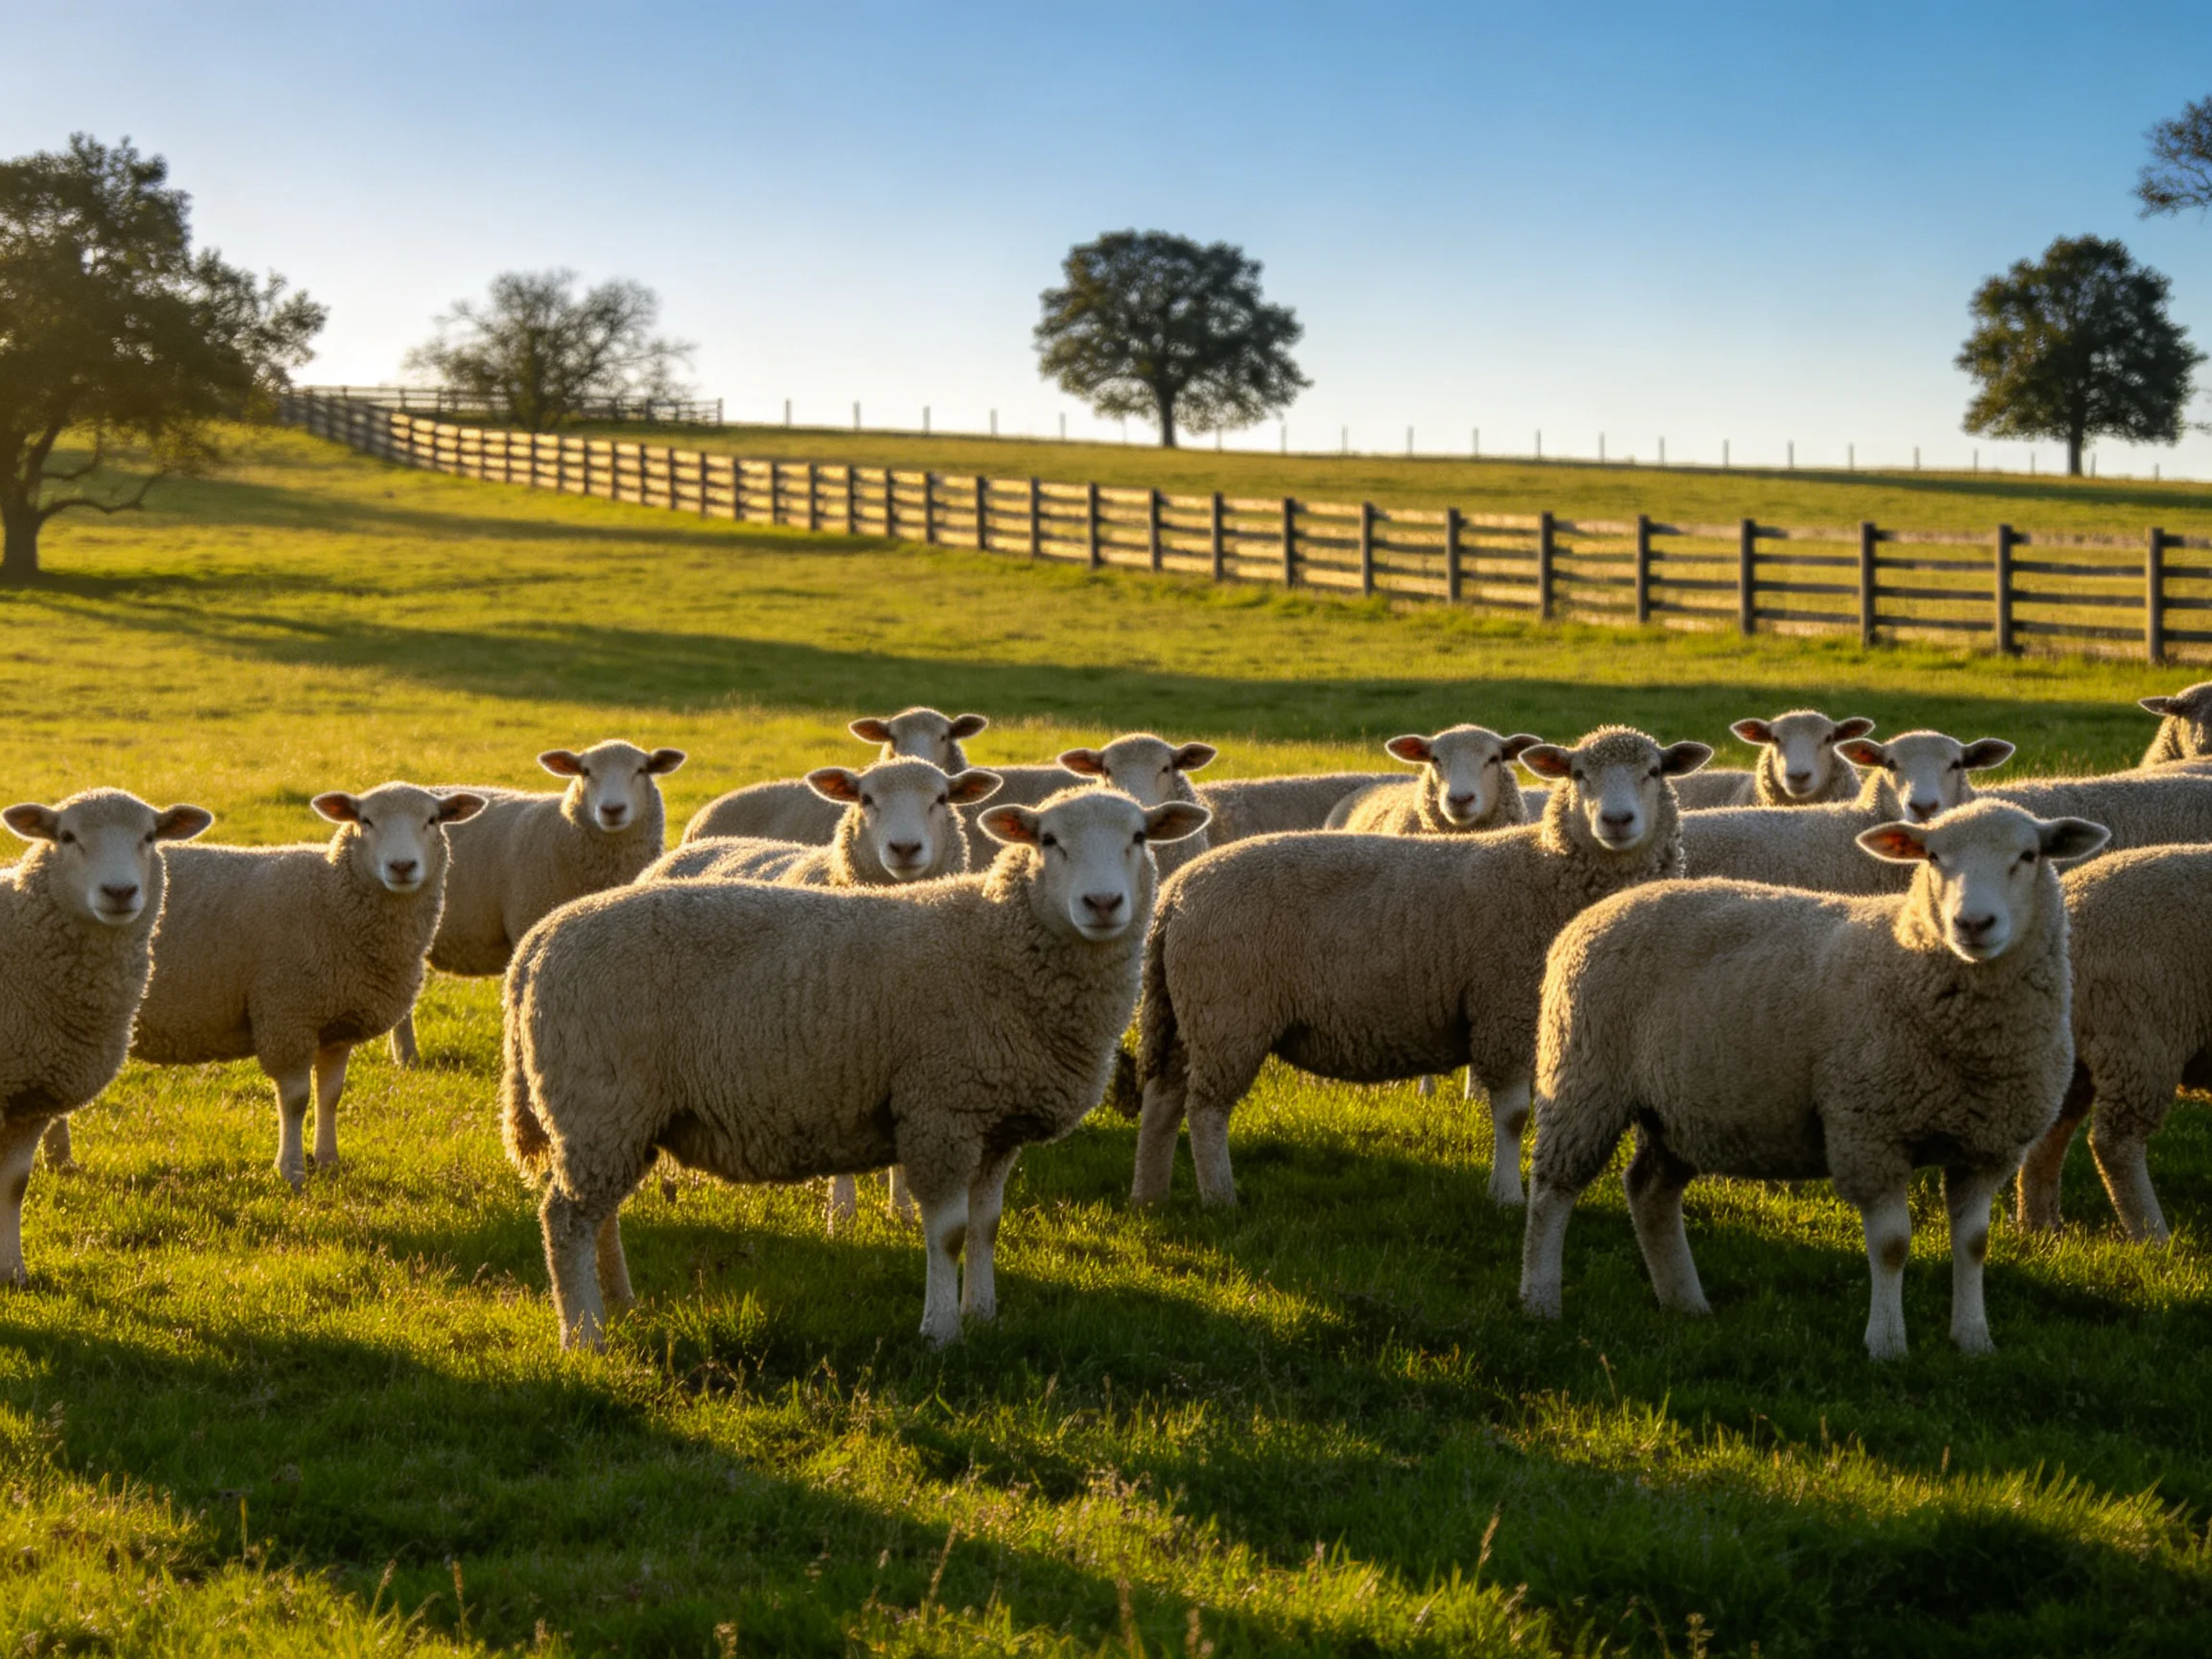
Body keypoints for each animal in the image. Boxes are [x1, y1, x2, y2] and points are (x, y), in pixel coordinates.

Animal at [0, 792, 212, 1281]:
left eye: (149, 837)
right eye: (66, 836)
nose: (119, 892)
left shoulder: (32, 1096)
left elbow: (15, 1184)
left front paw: (13, 1272)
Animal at [130, 784, 486, 1191]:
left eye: (432, 820)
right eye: (366, 821)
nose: (401, 866)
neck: (329, 895)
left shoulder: (336, 1023)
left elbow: (330, 1094)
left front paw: (328, 1161)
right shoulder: (288, 1013)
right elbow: (296, 1098)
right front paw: (291, 1170)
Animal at [500, 786, 1212, 1349]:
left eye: (1140, 836)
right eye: (1048, 839)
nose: (1102, 903)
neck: (997, 940)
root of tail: (536, 944)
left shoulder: (996, 1123)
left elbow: (986, 1227)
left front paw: (983, 1316)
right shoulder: (940, 1111)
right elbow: (948, 1232)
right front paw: (940, 1332)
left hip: (615, 1117)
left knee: (599, 1215)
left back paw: (619, 1304)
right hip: (599, 1099)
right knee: (565, 1220)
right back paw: (584, 1335)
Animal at [1520, 800, 2107, 1359]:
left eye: (2028, 856)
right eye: (1934, 857)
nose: (1973, 924)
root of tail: (1603, 908)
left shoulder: (1985, 1148)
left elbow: (1974, 1245)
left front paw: (1974, 1340)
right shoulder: (1870, 1133)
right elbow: (1892, 1246)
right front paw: (1887, 1345)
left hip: (1679, 1109)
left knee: (1649, 1190)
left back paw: (1685, 1302)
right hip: (1583, 1077)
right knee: (1552, 1192)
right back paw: (1541, 1301)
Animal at [2014, 843, 2212, 1243]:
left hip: (2072, 1050)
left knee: (2050, 1134)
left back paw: (2041, 1228)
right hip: (2139, 1035)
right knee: (2116, 1144)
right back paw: (2153, 1236)